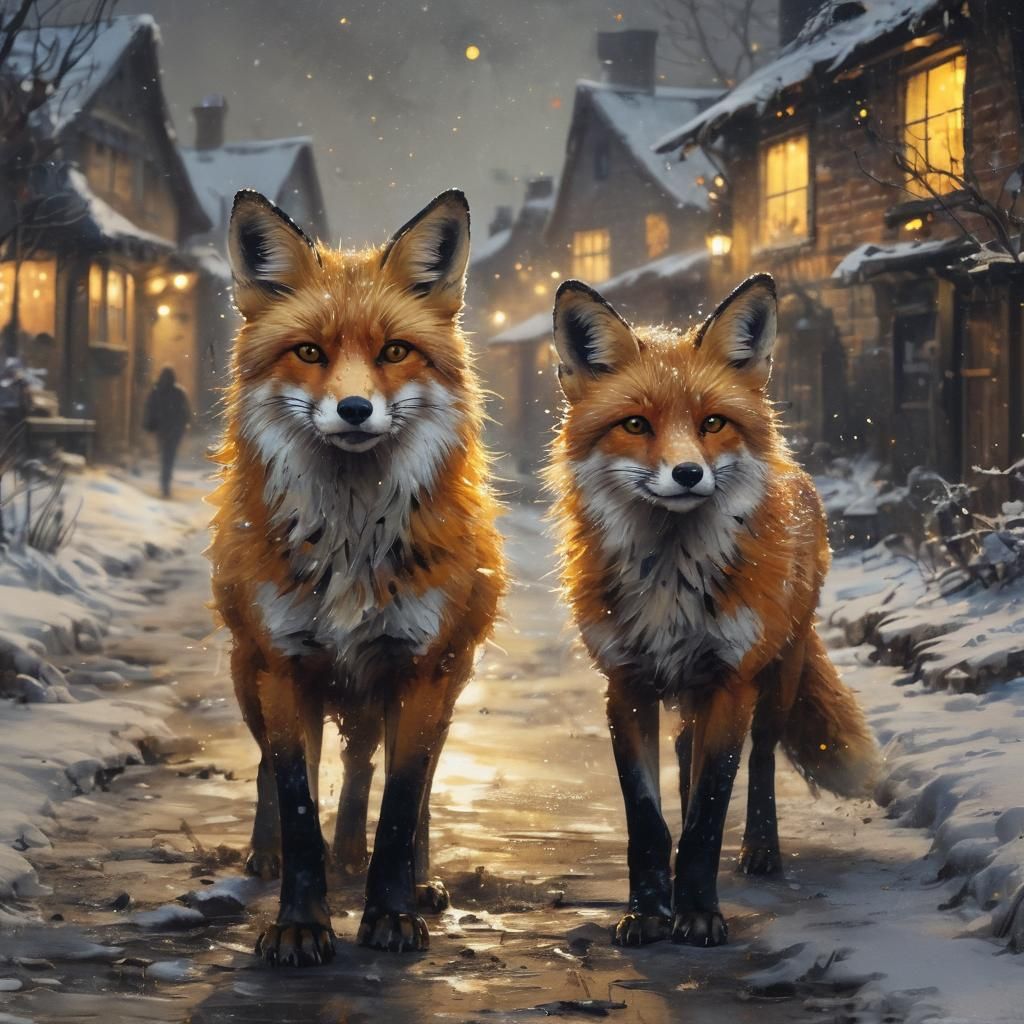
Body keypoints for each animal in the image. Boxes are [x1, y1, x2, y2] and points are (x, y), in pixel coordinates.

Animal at [208, 188, 506, 966]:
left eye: (394, 351)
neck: (350, 541)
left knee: (391, 777)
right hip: (250, 675)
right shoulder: (286, 665)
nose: (353, 409)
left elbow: (400, 807)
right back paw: (271, 856)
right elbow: (297, 800)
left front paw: (392, 914)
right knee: (279, 774)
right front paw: (299, 924)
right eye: (309, 352)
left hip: (438, 688)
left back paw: (403, 875)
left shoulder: (422, 668)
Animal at [546, 274, 878, 948]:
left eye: (713, 423)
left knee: (760, 761)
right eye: (636, 424)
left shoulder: (731, 682)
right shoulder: (626, 683)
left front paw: (698, 912)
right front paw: (648, 912)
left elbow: (708, 810)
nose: (687, 473)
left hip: (777, 677)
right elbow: (648, 819)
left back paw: (760, 851)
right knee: (683, 751)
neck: (672, 577)